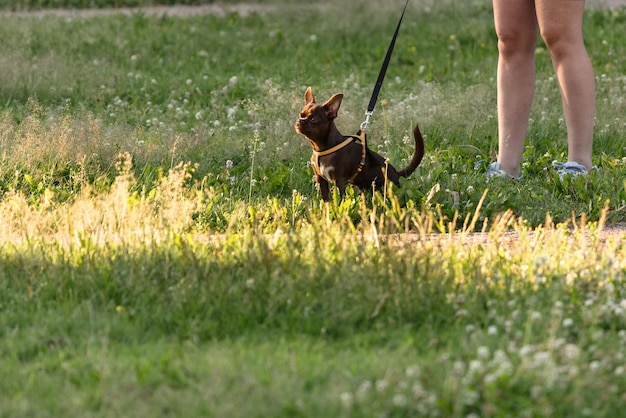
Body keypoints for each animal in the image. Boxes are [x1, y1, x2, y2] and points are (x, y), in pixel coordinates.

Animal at [294, 86, 424, 201]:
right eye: (301, 114)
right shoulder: (321, 179)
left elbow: (339, 199)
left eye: (313, 119)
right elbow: (326, 199)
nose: (300, 120)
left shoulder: (339, 180)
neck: (322, 148)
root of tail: (398, 174)